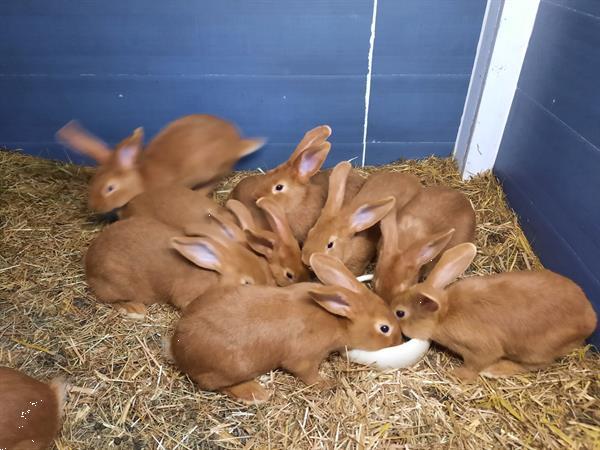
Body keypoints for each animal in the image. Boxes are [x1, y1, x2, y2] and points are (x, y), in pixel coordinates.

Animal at [56, 114, 262, 213]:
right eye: (93, 181)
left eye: (110, 188)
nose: (94, 207)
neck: (141, 179)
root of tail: (235, 144)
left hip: (209, 169)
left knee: (213, 181)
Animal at [84, 215, 274, 318]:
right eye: (247, 283)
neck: (214, 274)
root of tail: (88, 262)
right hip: (116, 284)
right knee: (108, 299)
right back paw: (135, 309)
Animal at [171, 253, 400, 404]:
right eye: (384, 328)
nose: (399, 341)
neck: (337, 319)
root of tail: (177, 348)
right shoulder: (305, 359)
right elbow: (308, 375)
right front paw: (326, 384)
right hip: (232, 368)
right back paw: (256, 394)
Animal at [390, 244, 596, 382]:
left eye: (400, 313)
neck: (445, 313)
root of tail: (591, 320)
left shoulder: (480, 350)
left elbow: (475, 364)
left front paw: (457, 375)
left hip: (535, 350)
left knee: (532, 366)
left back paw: (495, 370)